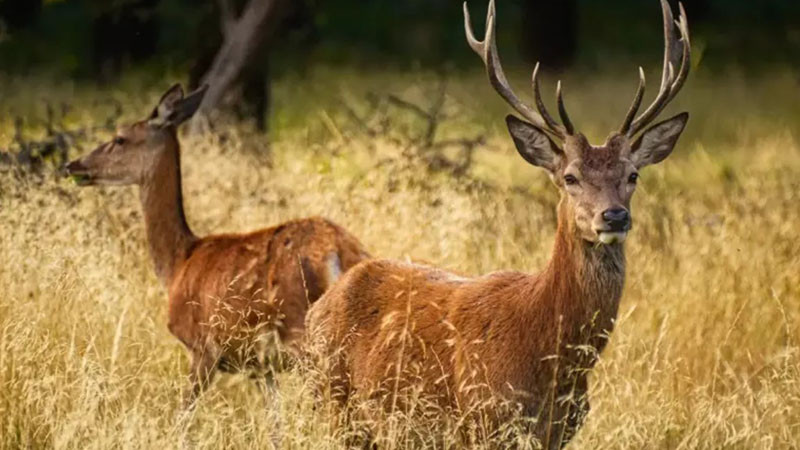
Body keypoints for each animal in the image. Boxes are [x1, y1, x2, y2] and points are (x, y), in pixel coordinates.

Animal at [64, 83, 370, 404]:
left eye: (120, 138)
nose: (72, 165)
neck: (178, 263)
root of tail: (337, 251)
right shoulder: (259, 366)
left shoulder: (202, 347)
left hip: (300, 329)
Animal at [306, 0, 688, 446]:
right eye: (569, 177)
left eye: (633, 175)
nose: (614, 215)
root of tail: (320, 305)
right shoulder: (483, 419)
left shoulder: (560, 432)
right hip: (334, 404)